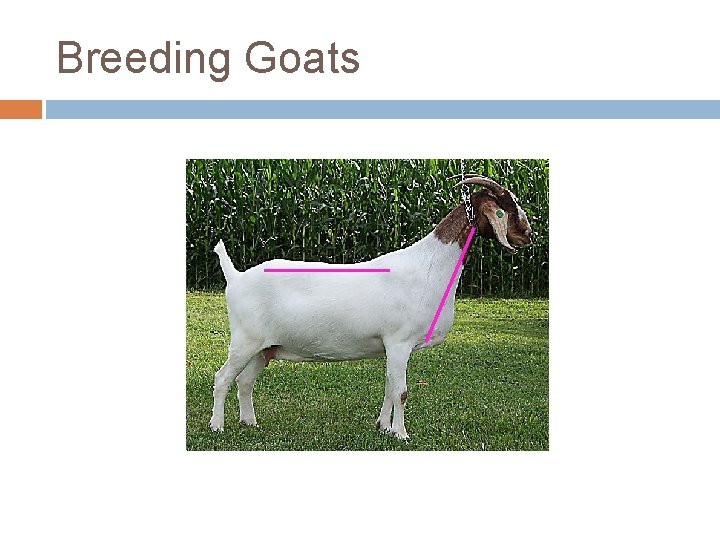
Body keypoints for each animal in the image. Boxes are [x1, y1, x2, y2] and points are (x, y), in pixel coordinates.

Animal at [210, 176, 533, 439]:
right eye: (505, 207)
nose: (529, 236)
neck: (428, 266)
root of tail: (235, 277)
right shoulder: (399, 342)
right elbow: (401, 392)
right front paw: (401, 434)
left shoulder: (391, 347)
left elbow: (389, 387)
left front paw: (384, 428)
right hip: (245, 340)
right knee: (223, 378)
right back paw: (217, 426)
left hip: (264, 347)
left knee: (245, 381)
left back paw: (249, 423)